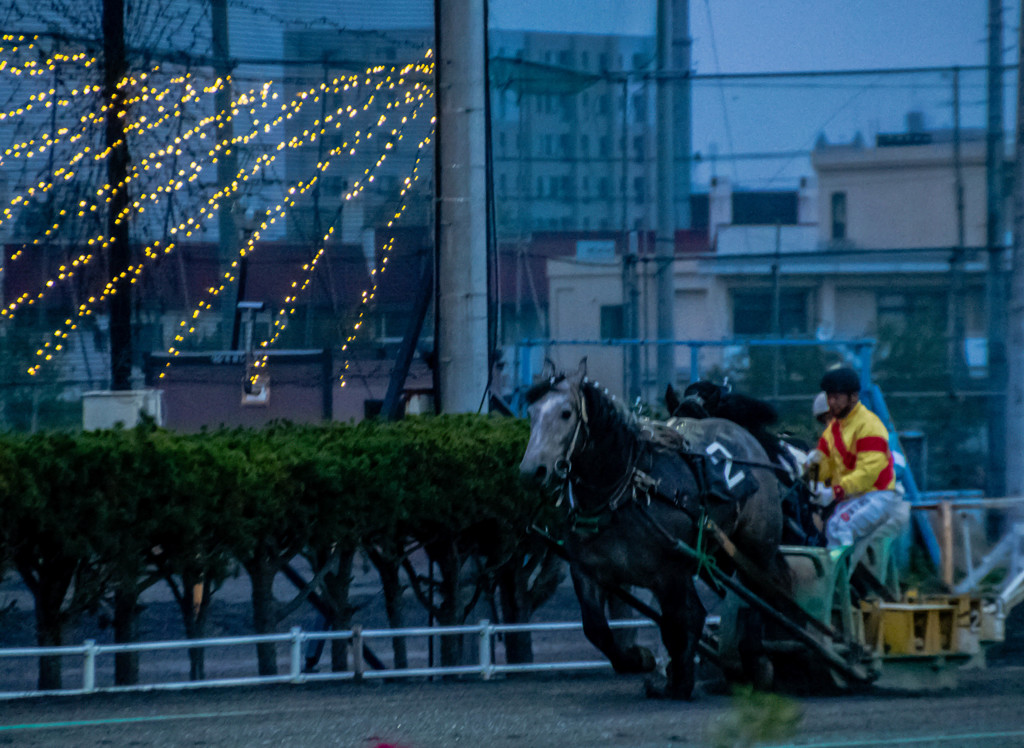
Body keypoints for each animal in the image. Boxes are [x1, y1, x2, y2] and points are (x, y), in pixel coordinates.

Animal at [516, 358, 786, 696]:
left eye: (566, 413)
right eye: (531, 413)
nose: (532, 471)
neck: (625, 491)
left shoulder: (669, 570)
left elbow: (680, 621)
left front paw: (680, 680)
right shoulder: (587, 569)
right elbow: (595, 628)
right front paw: (638, 660)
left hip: (757, 545)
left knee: (759, 595)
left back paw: (756, 660)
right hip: (720, 553)